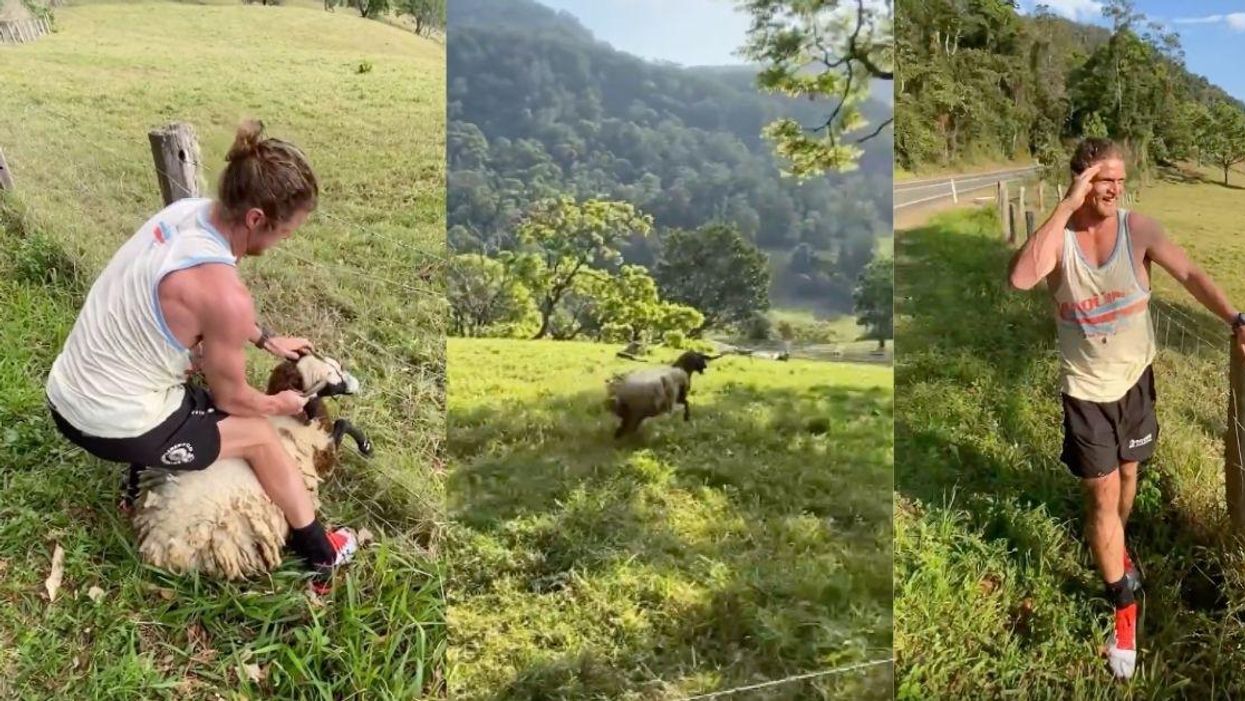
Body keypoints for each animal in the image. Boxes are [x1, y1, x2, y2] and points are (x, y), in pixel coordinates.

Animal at [128, 352, 373, 580]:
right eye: (331, 379)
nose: (355, 383)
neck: (292, 419)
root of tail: (161, 545)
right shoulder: (324, 455)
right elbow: (343, 424)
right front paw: (366, 446)